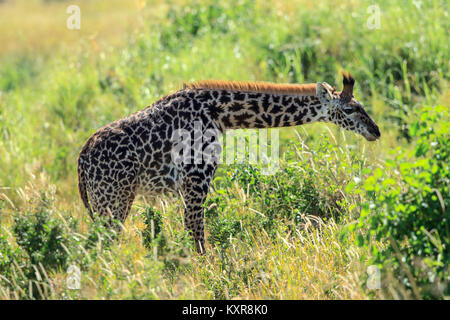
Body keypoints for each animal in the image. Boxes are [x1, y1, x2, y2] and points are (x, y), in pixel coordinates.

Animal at [78, 72, 380, 252]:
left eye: (363, 105)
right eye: (350, 109)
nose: (375, 131)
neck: (220, 113)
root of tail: (81, 160)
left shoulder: (189, 184)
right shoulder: (197, 178)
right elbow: (196, 233)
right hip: (113, 202)